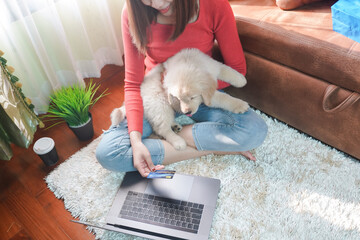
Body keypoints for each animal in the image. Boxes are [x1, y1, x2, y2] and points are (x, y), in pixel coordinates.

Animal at [111, 48, 249, 150]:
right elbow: (222, 97)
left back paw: (175, 126)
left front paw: (241, 80)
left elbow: (226, 69)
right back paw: (178, 141)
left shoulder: (213, 65)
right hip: (161, 106)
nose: (187, 112)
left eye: (192, 97)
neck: (189, 63)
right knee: (161, 129)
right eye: (178, 98)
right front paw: (240, 105)